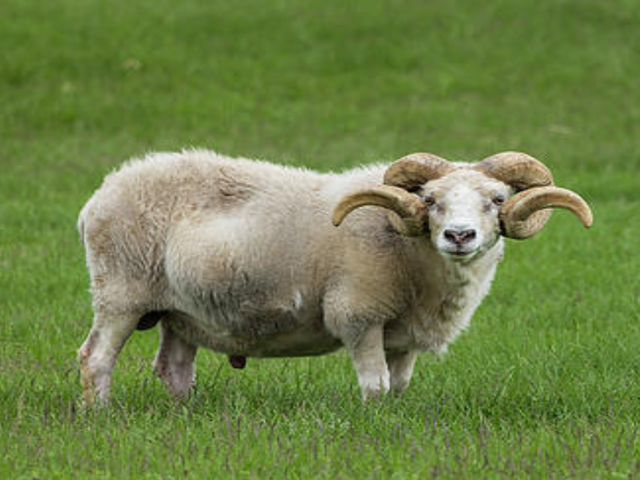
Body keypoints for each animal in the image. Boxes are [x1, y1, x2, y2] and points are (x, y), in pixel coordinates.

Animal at [77, 150, 593, 403]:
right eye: (429, 200)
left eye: (496, 199)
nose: (459, 235)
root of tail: (97, 197)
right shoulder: (359, 314)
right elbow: (375, 384)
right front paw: (372, 421)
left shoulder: (405, 334)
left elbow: (398, 387)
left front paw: (393, 421)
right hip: (120, 292)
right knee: (95, 359)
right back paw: (99, 414)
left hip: (181, 311)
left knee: (174, 367)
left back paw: (186, 413)